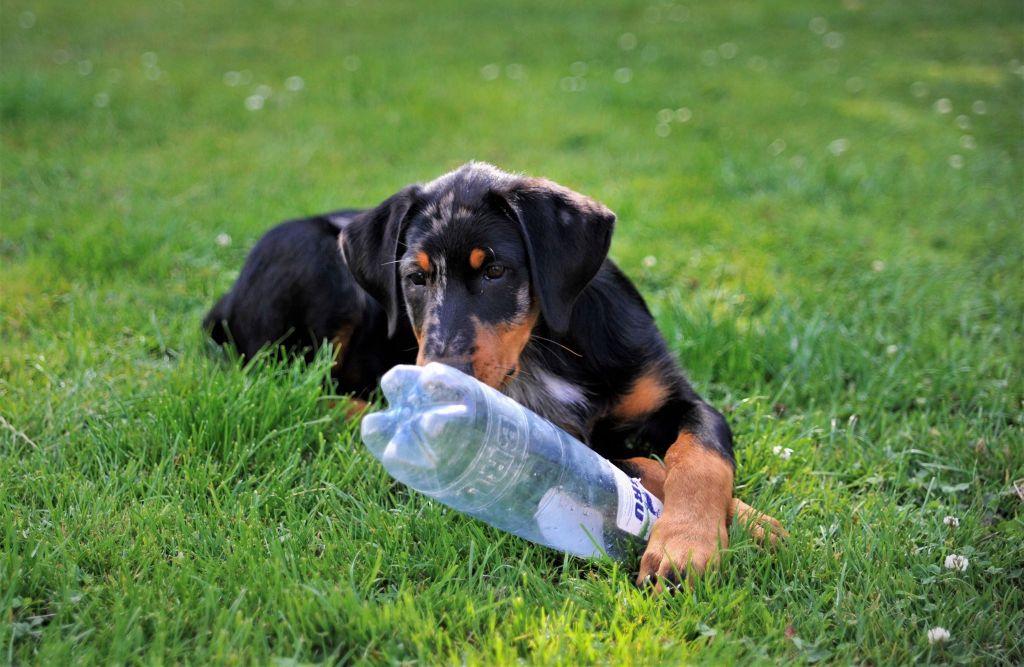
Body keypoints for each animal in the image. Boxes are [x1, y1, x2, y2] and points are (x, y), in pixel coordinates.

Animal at [205, 162, 785, 590]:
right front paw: (703, 536)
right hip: (309, 260)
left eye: (495, 272)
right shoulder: (544, 436)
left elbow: (699, 456)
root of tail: (223, 300)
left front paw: (700, 539)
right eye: (415, 278)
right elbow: (642, 463)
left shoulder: (674, 397)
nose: (441, 380)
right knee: (293, 383)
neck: (550, 347)